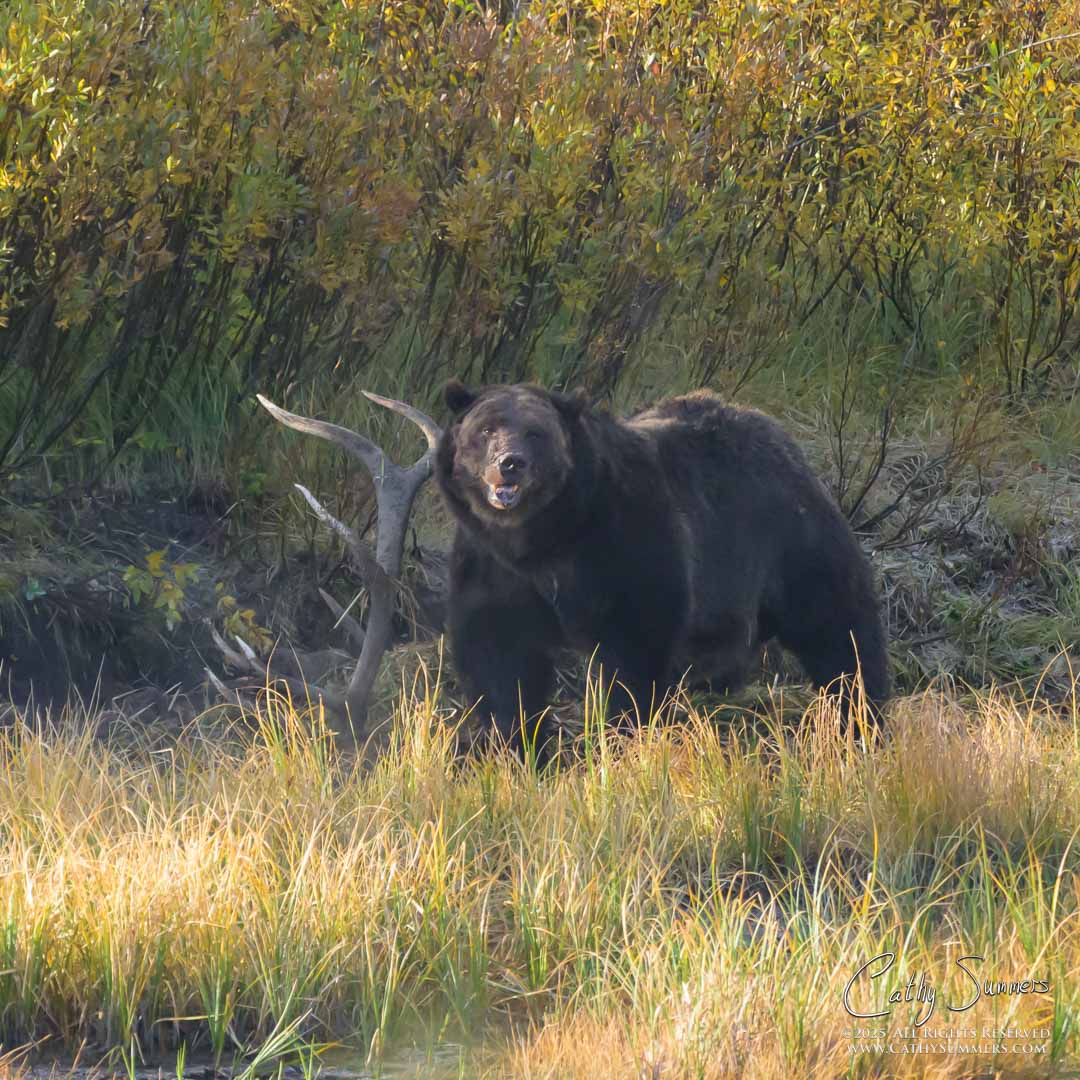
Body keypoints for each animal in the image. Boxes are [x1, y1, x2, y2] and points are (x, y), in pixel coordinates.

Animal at [435, 381, 889, 761]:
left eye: (535, 433)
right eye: (486, 429)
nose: (510, 463)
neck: (544, 539)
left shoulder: (627, 544)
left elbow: (634, 655)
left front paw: (624, 734)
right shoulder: (493, 567)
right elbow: (499, 657)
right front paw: (512, 745)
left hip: (789, 543)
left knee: (840, 633)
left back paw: (862, 723)